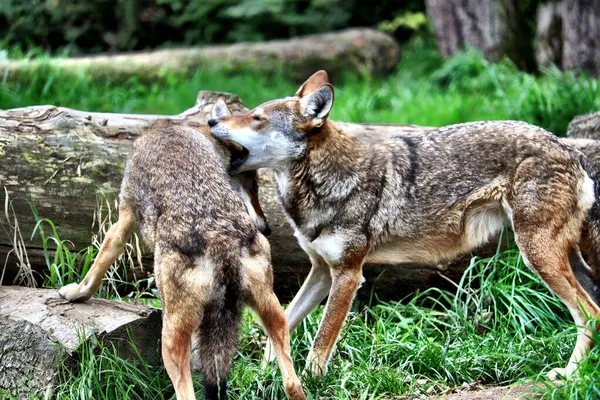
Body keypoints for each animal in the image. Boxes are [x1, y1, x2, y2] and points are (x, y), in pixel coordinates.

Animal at [58, 99, 304, 400]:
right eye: (253, 184)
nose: (267, 228)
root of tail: (219, 238)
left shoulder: (124, 218)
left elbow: (98, 264)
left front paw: (75, 293)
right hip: (274, 315)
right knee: (292, 384)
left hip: (171, 338)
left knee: (186, 392)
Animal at [209, 72, 600, 382]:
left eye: (256, 118)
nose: (212, 123)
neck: (327, 181)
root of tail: (571, 149)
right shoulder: (321, 271)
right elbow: (283, 323)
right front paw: (265, 374)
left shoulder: (349, 274)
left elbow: (320, 341)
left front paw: (309, 382)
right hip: (564, 259)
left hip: (537, 255)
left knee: (589, 314)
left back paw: (570, 375)